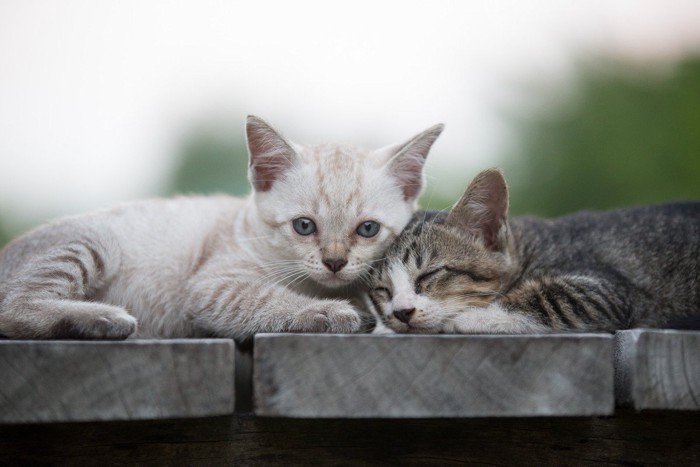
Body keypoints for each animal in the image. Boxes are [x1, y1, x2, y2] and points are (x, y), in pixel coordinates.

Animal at [0, 117, 442, 342]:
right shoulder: (213, 285)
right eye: (304, 226)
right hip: (97, 241)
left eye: (367, 229)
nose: (334, 262)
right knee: (12, 309)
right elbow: (263, 299)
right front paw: (326, 311)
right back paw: (101, 318)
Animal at [370, 170, 696, 334]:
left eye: (429, 274)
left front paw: (467, 317)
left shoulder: (609, 290)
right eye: (382, 290)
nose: (402, 312)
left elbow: (549, 297)